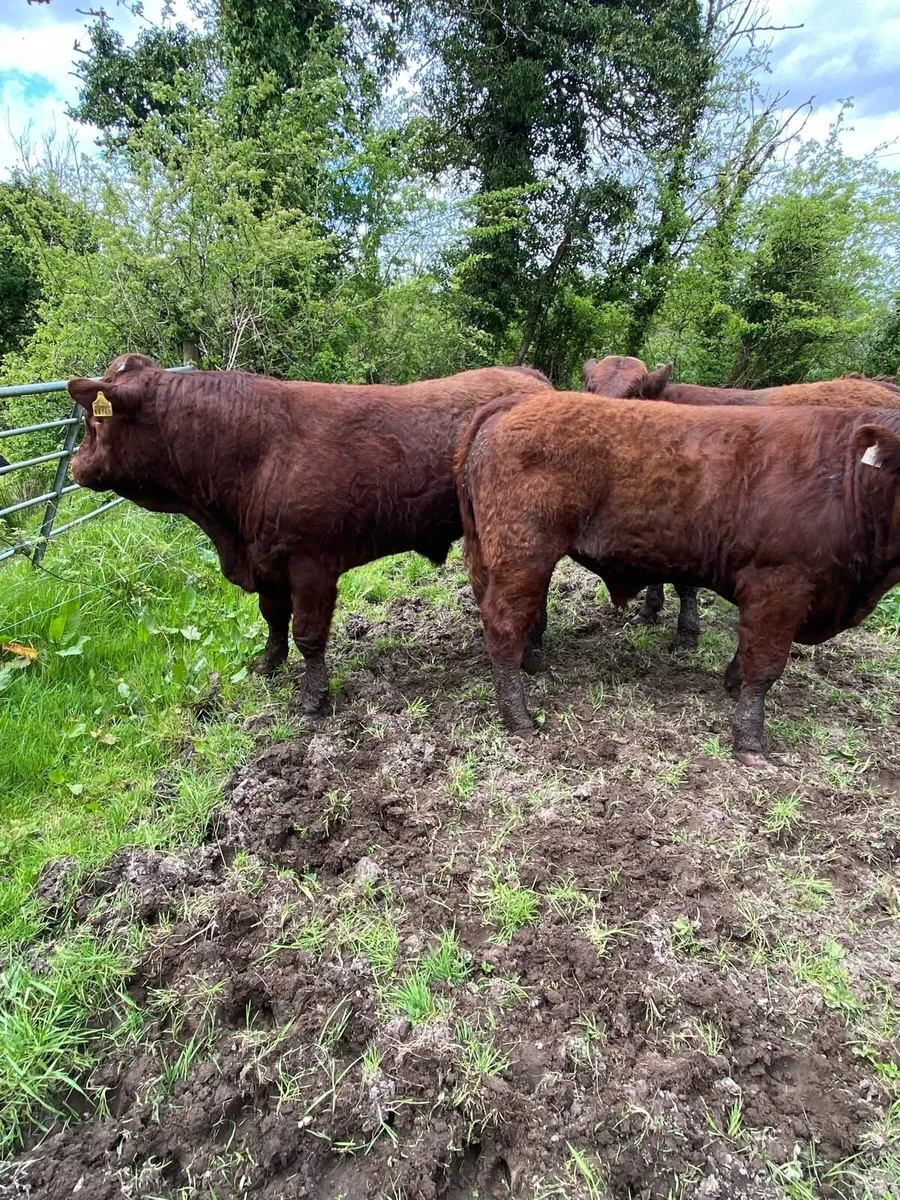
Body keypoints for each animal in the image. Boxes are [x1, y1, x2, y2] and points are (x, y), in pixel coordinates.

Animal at [68, 355, 552, 714]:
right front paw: (267, 664)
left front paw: (312, 698)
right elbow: (272, 617)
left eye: (95, 422)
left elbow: (308, 632)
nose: (75, 465)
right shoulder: (266, 561)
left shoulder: (311, 565)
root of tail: (529, 376)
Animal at [455, 391, 900, 767]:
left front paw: (732, 683)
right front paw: (750, 746)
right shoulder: (780, 584)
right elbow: (766, 666)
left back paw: (533, 666)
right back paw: (520, 718)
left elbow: (748, 655)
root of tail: (515, 402)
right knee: (504, 627)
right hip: (523, 556)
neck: (846, 479)